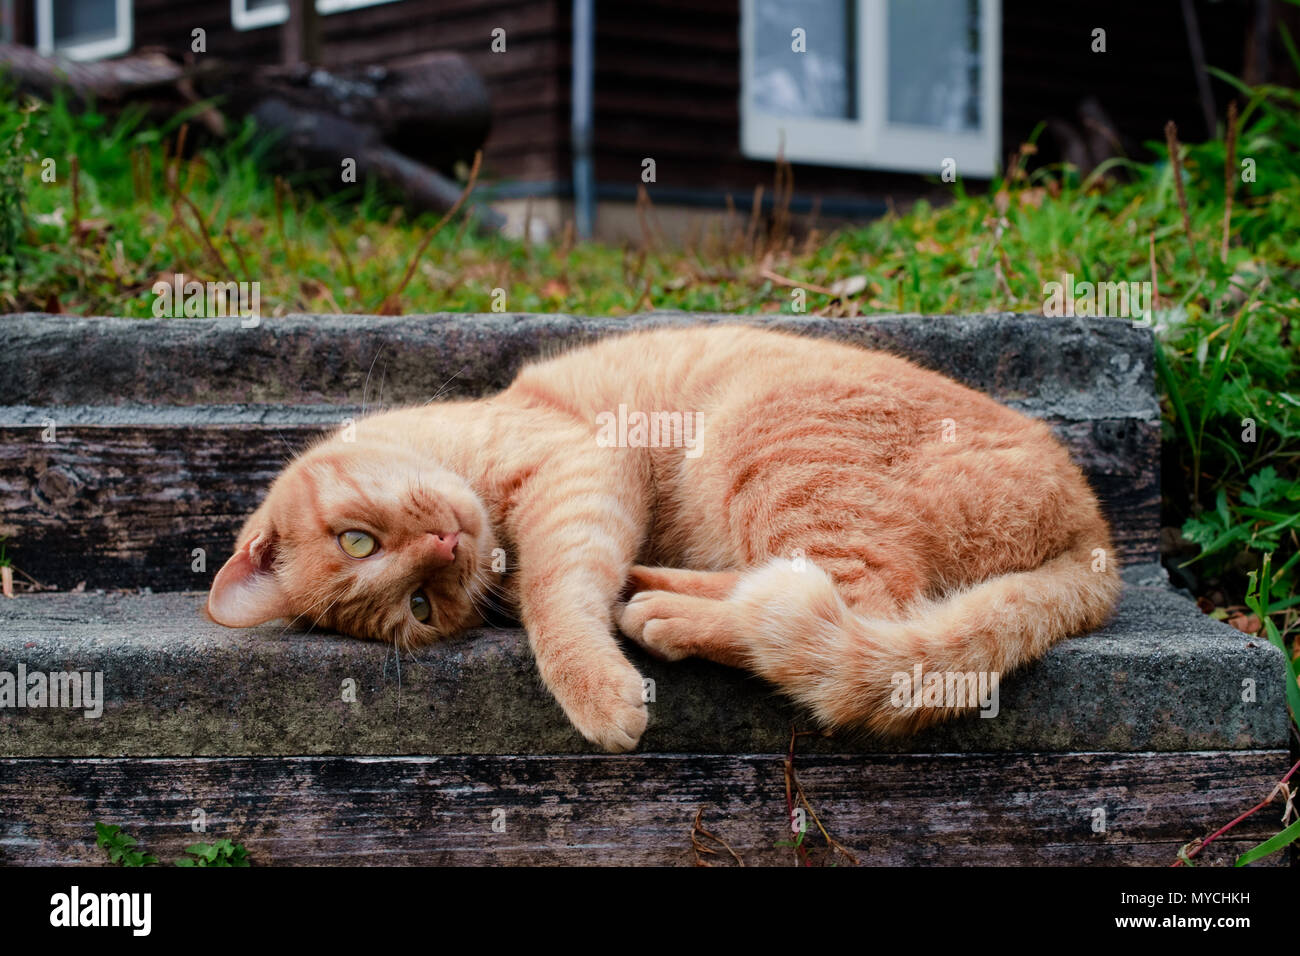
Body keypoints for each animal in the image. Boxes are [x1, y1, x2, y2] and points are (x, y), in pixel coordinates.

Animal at [208, 325, 1123, 749]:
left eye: (356, 540)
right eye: (422, 608)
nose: (443, 549)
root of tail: (1097, 531)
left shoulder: (580, 468)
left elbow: (554, 598)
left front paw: (596, 690)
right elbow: (555, 589)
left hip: (769, 443)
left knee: (864, 615)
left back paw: (665, 613)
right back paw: (657, 593)